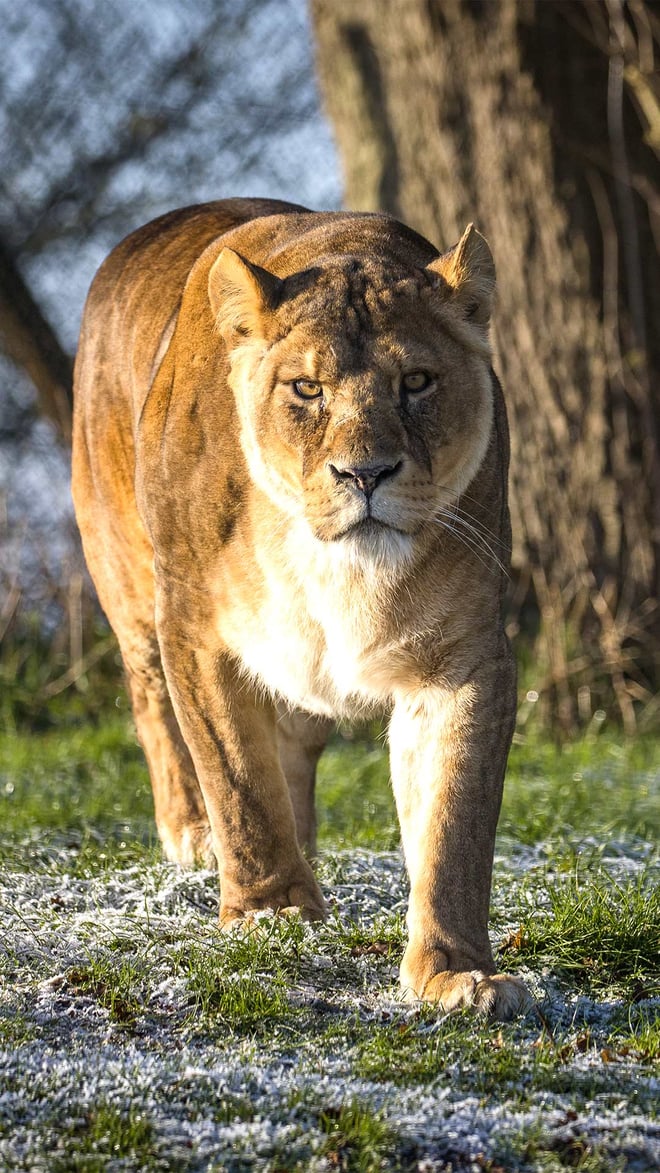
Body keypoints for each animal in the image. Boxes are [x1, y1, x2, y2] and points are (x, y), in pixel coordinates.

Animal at [72, 197, 531, 1020]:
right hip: (127, 583)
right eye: (306, 390)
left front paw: (456, 973)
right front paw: (269, 911)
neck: (335, 567)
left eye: (417, 381)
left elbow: (454, 824)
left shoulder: (464, 659)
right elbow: (239, 784)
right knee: (156, 710)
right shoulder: (197, 633)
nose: (366, 472)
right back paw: (194, 836)